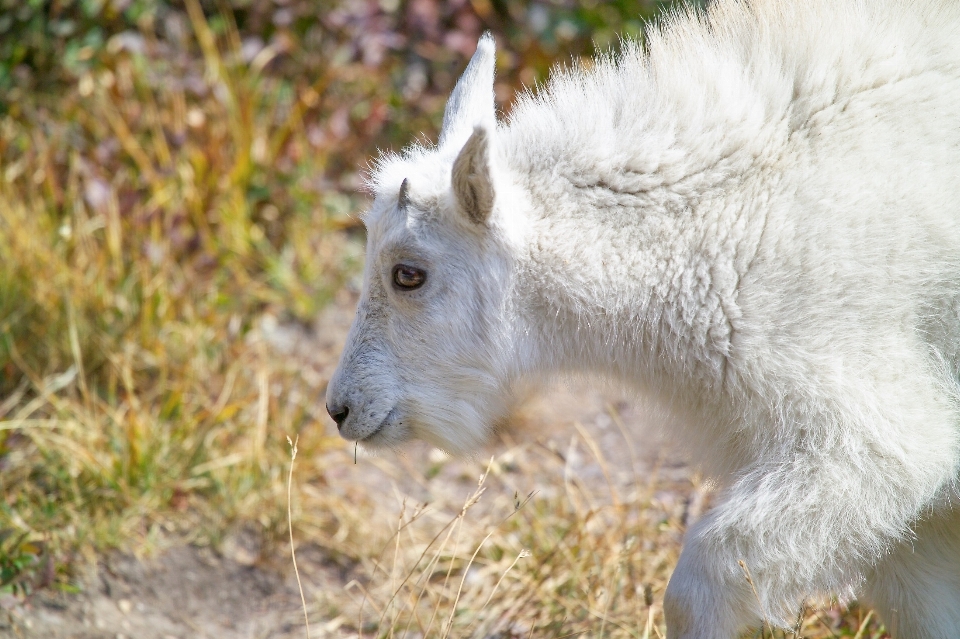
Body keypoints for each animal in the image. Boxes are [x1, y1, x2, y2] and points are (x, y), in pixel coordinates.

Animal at [326, 1, 960, 636]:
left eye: (408, 273)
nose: (341, 408)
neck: (719, 230)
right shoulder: (912, 531)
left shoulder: (873, 442)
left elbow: (700, 585)